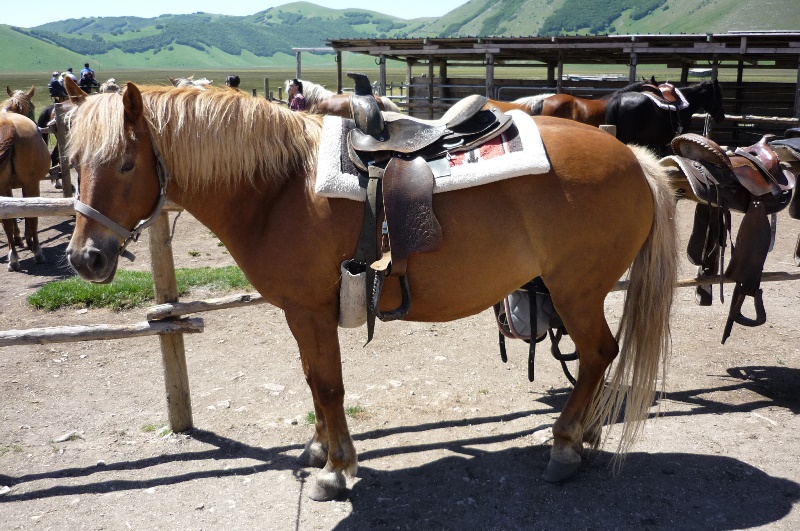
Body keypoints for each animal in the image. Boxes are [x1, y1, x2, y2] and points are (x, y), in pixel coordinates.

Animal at [62, 78, 680, 502]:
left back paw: (566, 444)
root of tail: (634, 158)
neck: (278, 187)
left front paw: (335, 470)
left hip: (576, 292)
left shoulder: (311, 311)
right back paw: (588, 431)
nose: (85, 258)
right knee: (600, 358)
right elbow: (312, 380)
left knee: (598, 353)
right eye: (74, 161)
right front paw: (318, 449)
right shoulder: (299, 313)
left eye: (125, 164)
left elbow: (328, 385)